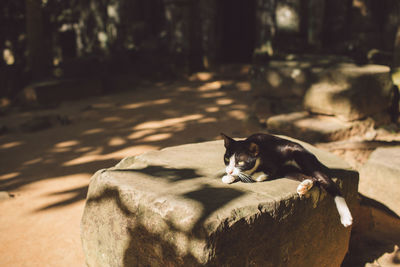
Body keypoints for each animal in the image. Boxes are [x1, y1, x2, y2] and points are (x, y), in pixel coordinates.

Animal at [222, 134, 354, 228]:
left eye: (240, 162)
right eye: (227, 159)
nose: (229, 171)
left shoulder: (273, 164)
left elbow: (264, 173)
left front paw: (252, 175)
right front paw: (229, 176)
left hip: (299, 155)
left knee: (326, 180)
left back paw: (346, 217)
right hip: (289, 171)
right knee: (313, 178)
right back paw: (304, 186)